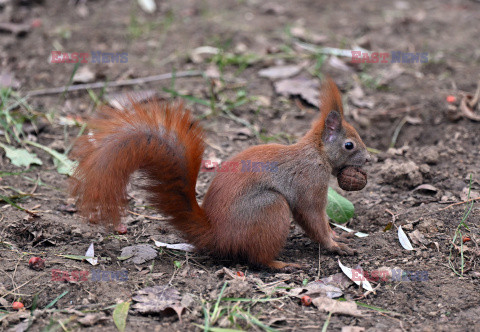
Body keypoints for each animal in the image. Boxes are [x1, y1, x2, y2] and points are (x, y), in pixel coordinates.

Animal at [70, 78, 372, 270]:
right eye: (349, 145)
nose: (370, 158)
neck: (316, 154)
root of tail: (217, 236)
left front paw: (340, 237)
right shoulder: (309, 185)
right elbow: (313, 218)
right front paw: (335, 245)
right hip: (270, 208)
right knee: (258, 258)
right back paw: (282, 264)